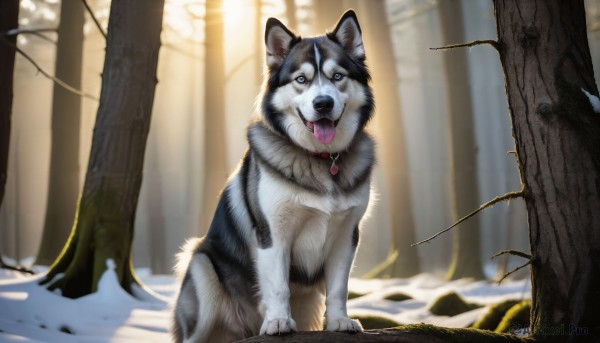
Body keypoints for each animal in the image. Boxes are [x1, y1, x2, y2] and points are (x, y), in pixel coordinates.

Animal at [170, 9, 376, 342]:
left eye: (337, 76)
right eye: (301, 79)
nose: (323, 103)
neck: (320, 159)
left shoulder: (347, 235)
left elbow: (338, 288)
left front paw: (340, 322)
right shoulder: (272, 233)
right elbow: (278, 286)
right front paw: (278, 322)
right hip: (201, 268)